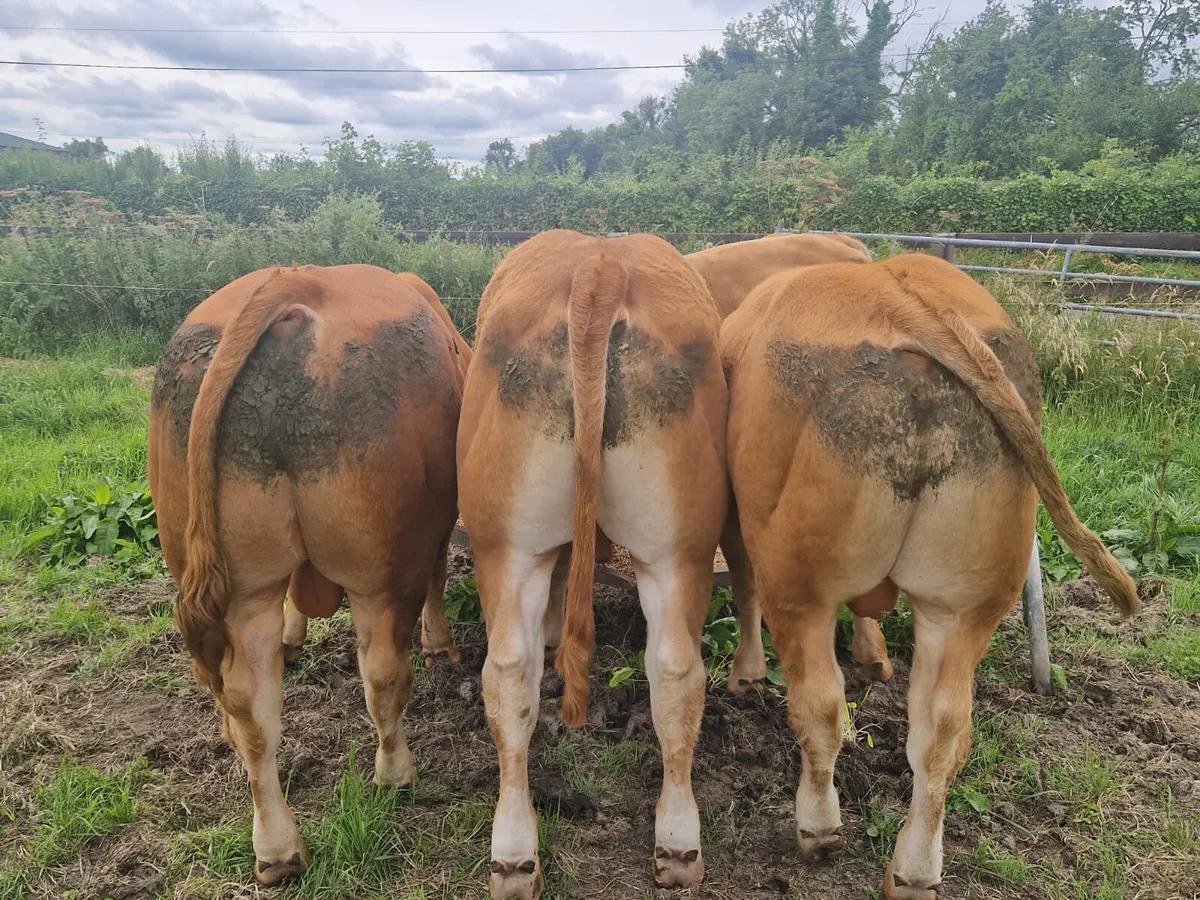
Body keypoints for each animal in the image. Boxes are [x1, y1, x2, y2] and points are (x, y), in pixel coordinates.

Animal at [148, 263, 470, 885]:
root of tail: (297, 284)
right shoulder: (434, 532)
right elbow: (438, 581)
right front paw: (440, 644)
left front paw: (294, 639)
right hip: (381, 573)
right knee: (383, 675)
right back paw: (395, 773)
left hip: (240, 590)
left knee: (249, 709)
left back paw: (277, 847)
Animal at [719, 252, 1139, 898]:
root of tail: (898, 291)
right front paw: (873, 658)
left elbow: (743, 588)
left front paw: (746, 675)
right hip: (964, 602)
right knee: (943, 731)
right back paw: (914, 870)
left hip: (800, 583)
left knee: (820, 706)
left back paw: (818, 830)